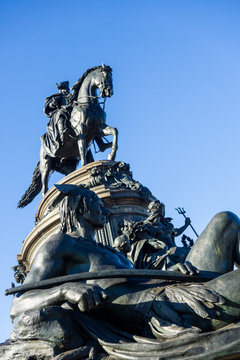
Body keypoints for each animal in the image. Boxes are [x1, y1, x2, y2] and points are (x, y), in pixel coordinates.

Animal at [17, 64, 117, 208]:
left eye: (111, 76)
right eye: (104, 75)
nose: (109, 91)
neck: (88, 104)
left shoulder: (99, 129)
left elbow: (115, 132)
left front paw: (111, 155)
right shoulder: (81, 131)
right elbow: (82, 149)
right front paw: (84, 166)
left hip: (68, 165)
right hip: (46, 164)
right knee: (44, 187)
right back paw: (47, 198)